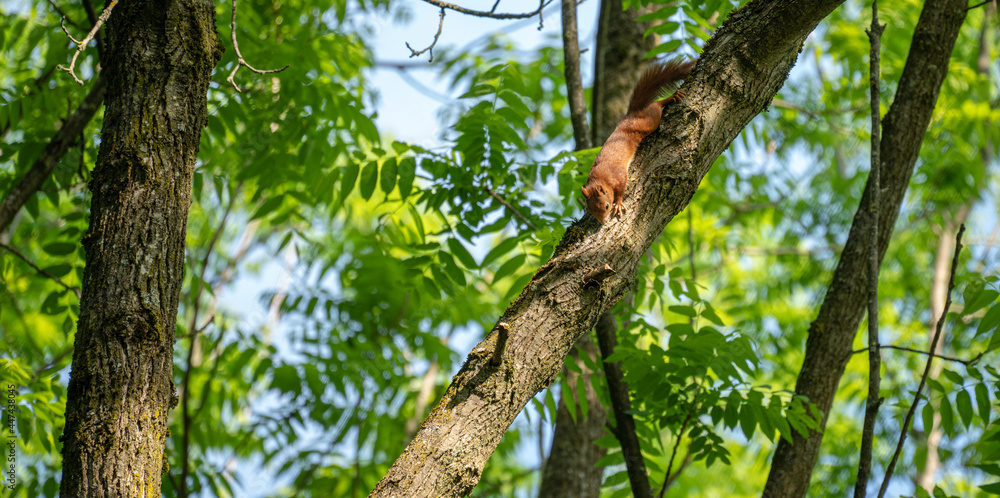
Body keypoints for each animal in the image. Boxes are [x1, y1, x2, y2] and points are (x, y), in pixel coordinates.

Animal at [581, 58, 696, 224]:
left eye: (607, 206)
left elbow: (621, 189)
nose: (603, 222)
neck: (600, 178)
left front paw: (618, 203)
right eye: (591, 210)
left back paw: (672, 97)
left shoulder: (619, 175)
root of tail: (631, 114)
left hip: (649, 121)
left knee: (656, 105)